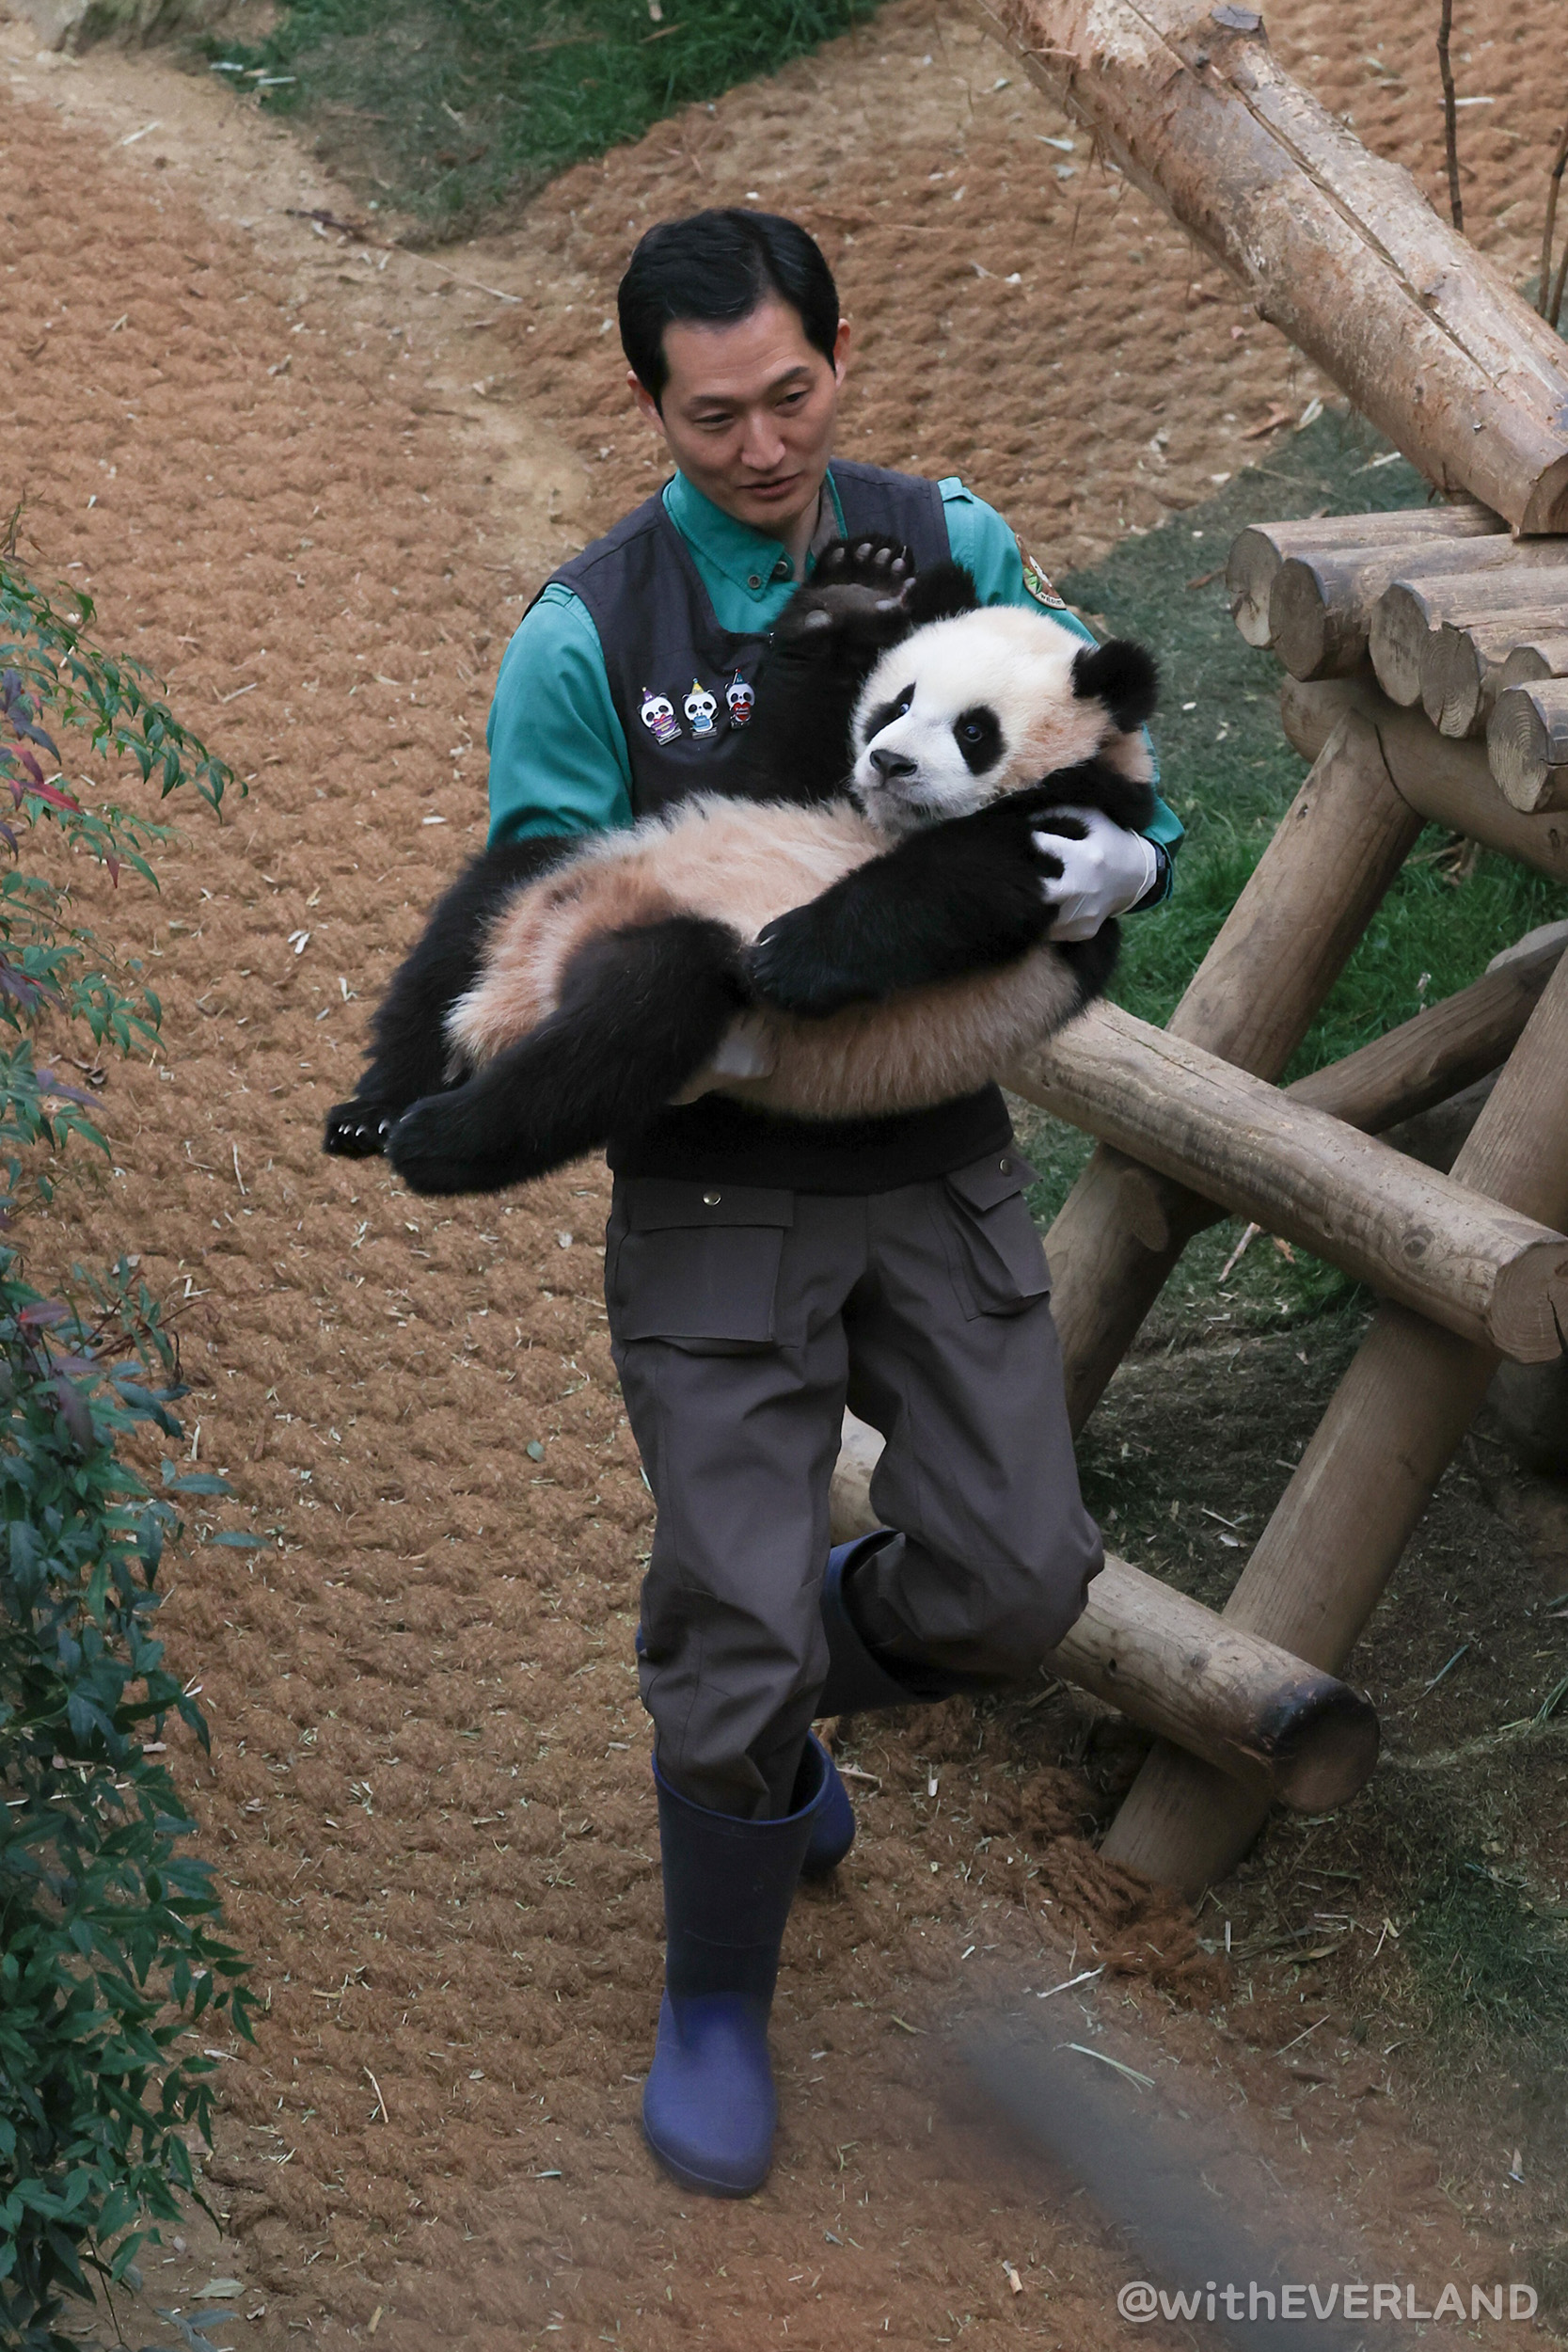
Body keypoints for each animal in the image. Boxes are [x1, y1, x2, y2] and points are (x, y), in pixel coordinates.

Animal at [323, 540, 1157, 1197]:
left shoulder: (1072, 831)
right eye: (896, 704)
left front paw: (791, 957)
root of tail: (515, 992)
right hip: (571, 864)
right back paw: (376, 1111)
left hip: (675, 971)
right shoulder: (815, 784)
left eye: (974, 731)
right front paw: (851, 587)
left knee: (632, 1020)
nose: (889, 763)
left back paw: (437, 1142)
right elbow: (768, 767)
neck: (886, 819)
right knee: (476, 910)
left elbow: (955, 885)